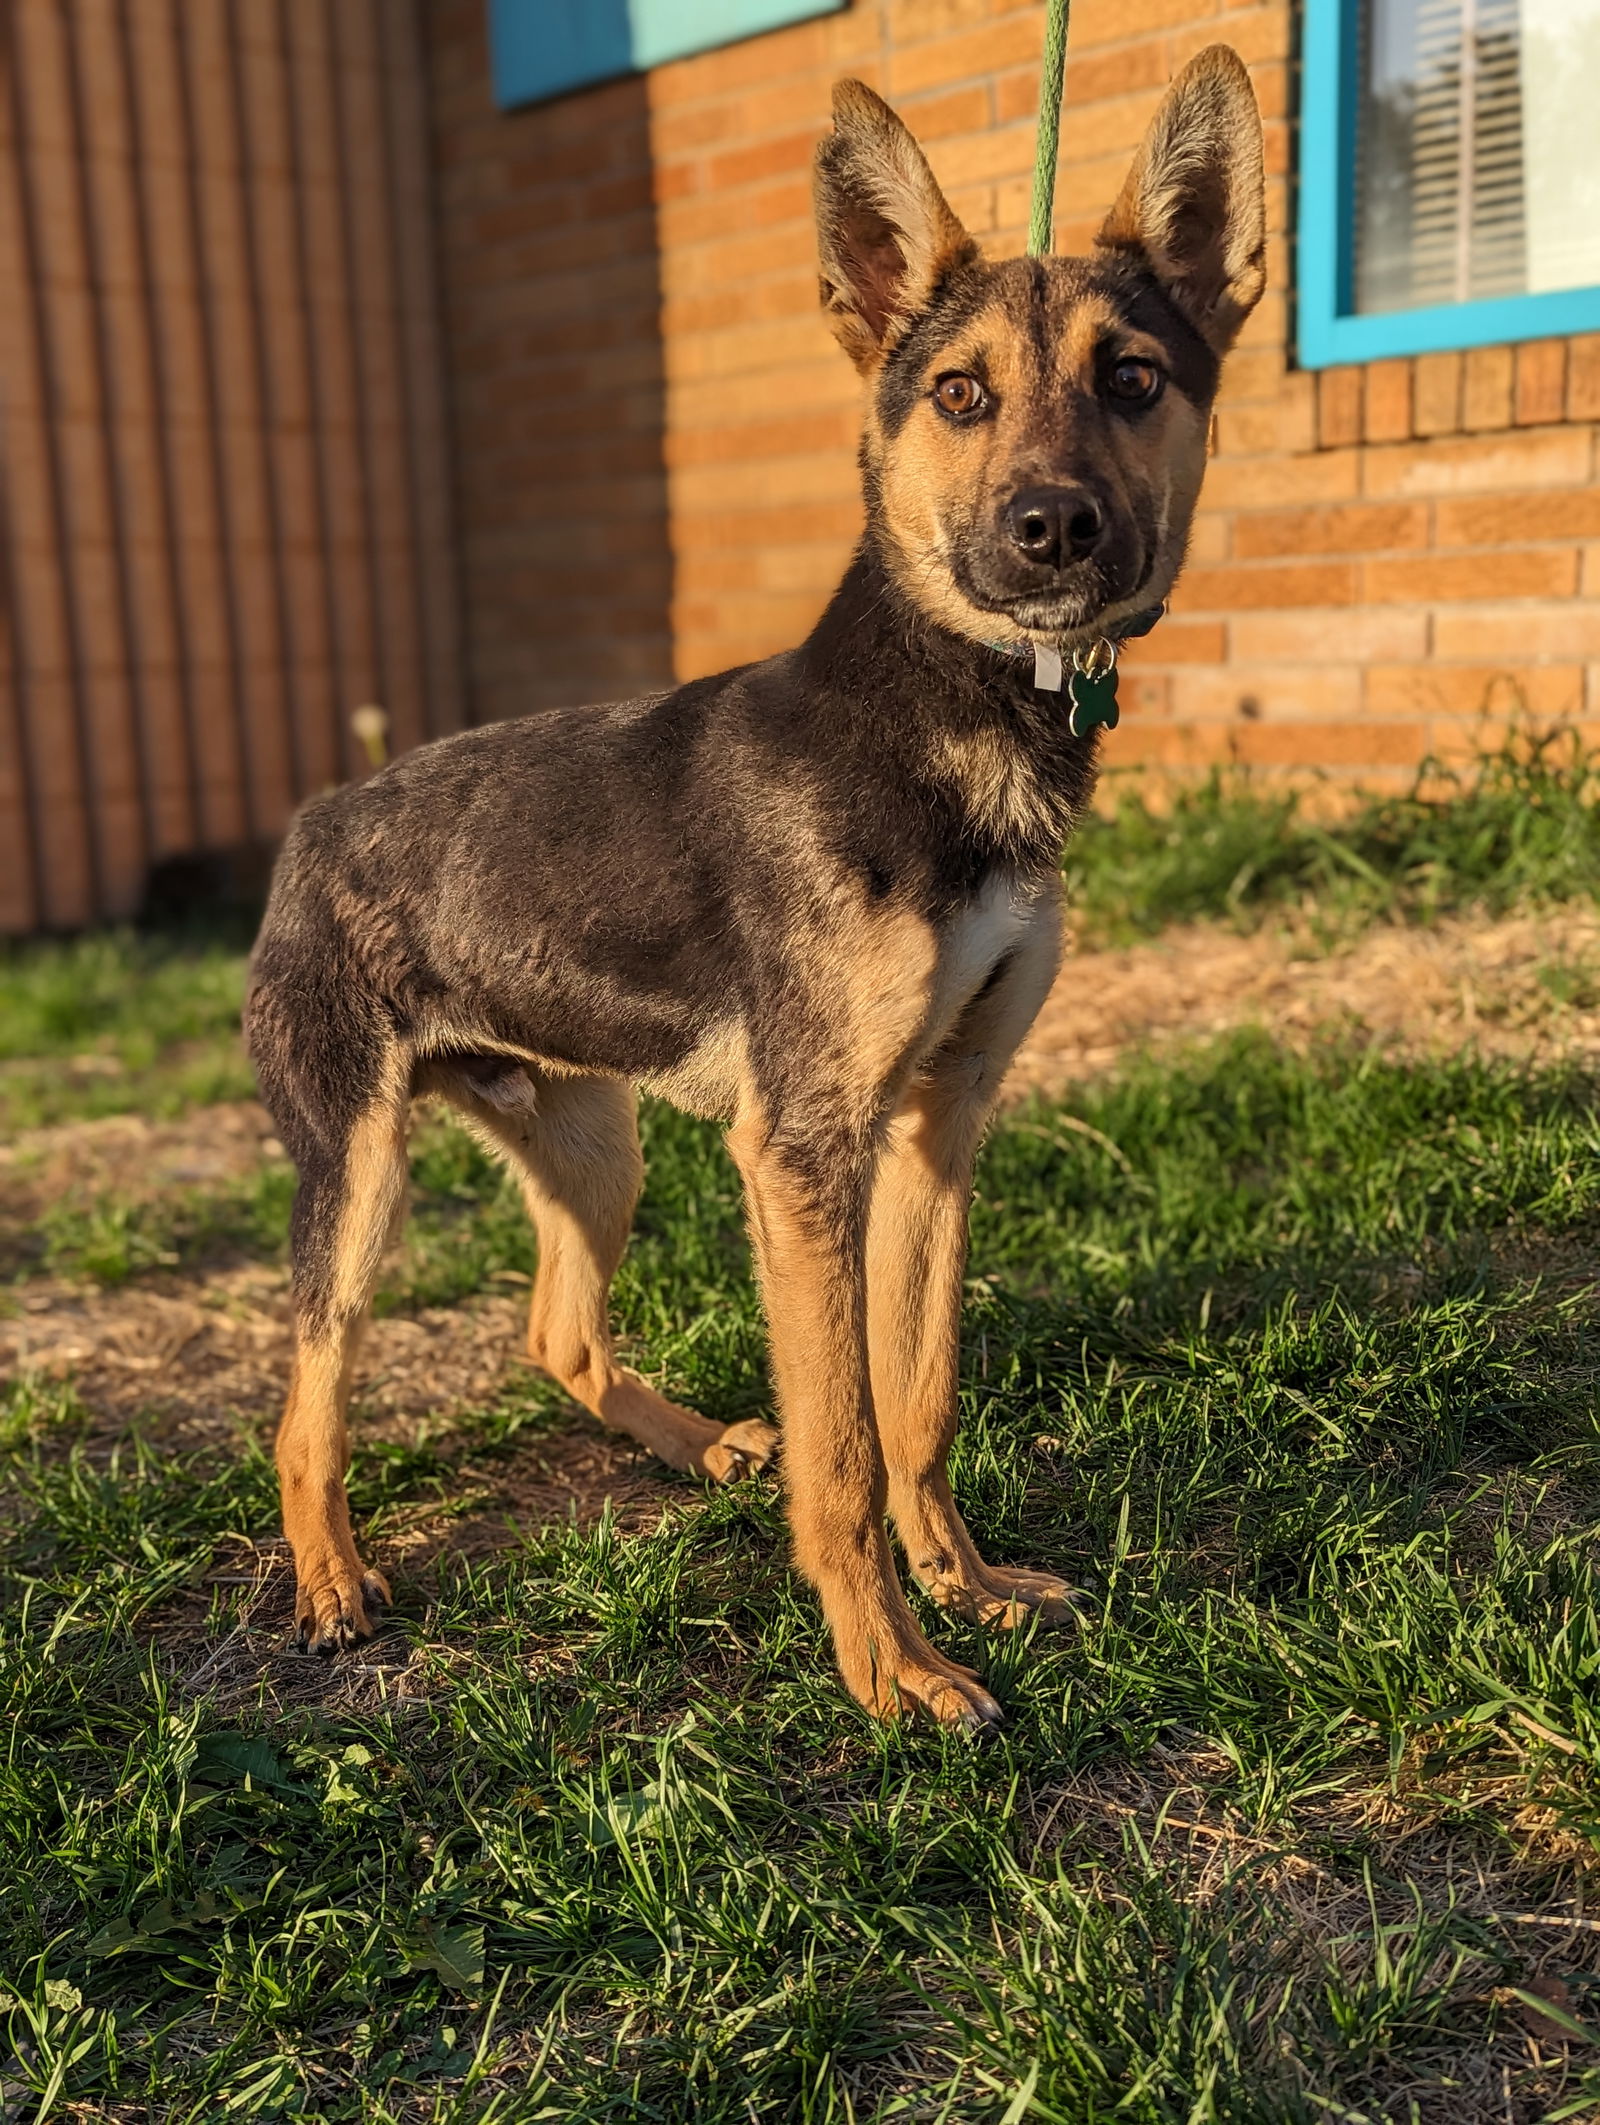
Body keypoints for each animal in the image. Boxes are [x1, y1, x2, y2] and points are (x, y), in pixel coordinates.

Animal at [246, 49, 1257, 1734]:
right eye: (958, 394)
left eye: (1132, 378)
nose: (1053, 530)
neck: (948, 709)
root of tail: (314, 822)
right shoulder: (802, 1153)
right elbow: (845, 1448)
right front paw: (890, 1666)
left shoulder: (936, 1127)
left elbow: (917, 1403)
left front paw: (966, 1586)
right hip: (362, 1168)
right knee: (305, 1394)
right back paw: (330, 1579)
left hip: (595, 1142)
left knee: (555, 1331)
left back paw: (695, 1442)